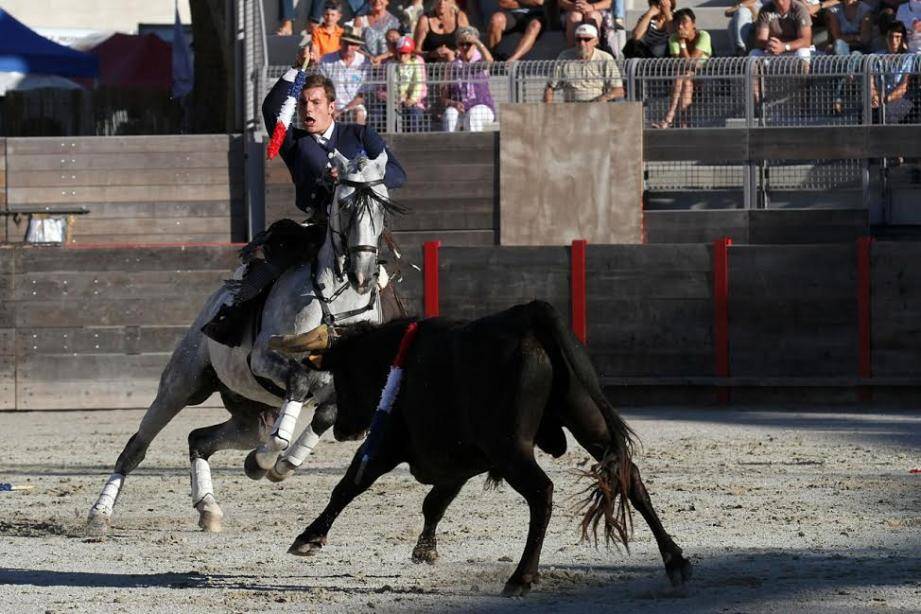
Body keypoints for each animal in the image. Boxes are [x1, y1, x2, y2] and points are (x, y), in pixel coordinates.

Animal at [87, 153, 398, 536]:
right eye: (344, 203)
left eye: (383, 205)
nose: (362, 274)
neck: (337, 306)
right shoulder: (265, 360)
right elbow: (296, 389)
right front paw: (263, 462)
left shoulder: (343, 389)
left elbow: (324, 415)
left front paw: (280, 466)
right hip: (180, 385)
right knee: (136, 447)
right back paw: (99, 515)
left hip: (252, 416)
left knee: (199, 439)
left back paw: (208, 508)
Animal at [270, 304, 688, 596]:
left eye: (341, 374)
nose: (344, 429)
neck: (396, 358)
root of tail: (531, 316)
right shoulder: (461, 460)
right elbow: (435, 502)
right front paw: (425, 550)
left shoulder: (388, 444)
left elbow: (349, 484)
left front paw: (308, 538)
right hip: (589, 421)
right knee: (631, 478)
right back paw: (675, 562)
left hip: (511, 448)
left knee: (542, 492)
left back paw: (521, 577)